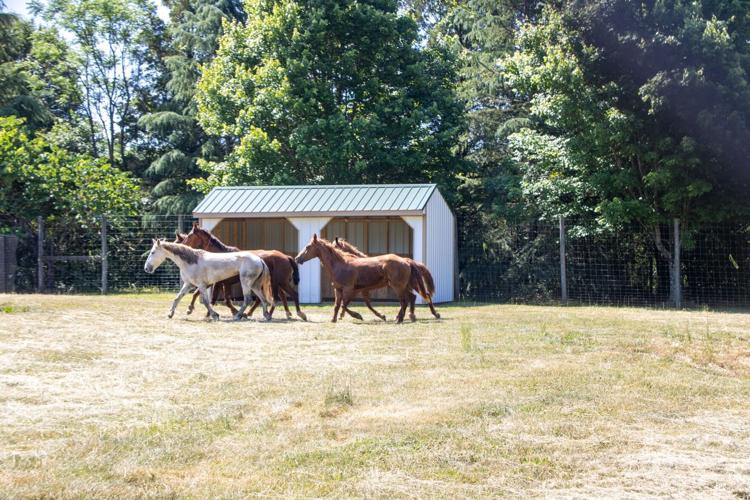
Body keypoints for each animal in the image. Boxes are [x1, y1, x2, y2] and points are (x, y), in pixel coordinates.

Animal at [143, 239, 274, 321]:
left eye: (153, 252)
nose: (146, 268)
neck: (191, 261)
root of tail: (259, 259)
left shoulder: (201, 285)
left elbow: (206, 301)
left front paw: (215, 315)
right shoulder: (188, 284)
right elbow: (177, 298)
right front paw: (170, 314)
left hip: (245, 283)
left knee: (247, 299)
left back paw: (238, 316)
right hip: (255, 285)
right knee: (262, 299)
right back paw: (266, 316)